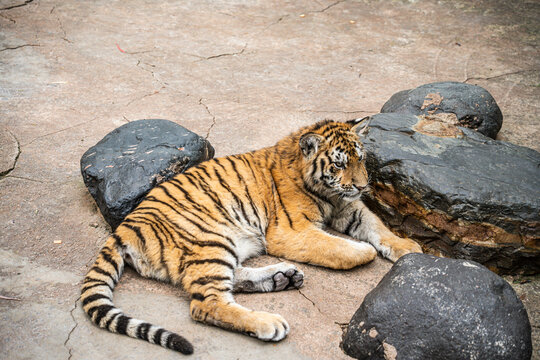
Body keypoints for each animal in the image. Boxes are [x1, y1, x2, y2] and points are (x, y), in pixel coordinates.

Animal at [80, 118, 422, 354]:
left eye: (360, 158)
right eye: (339, 164)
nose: (364, 187)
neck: (328, 193)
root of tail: (125, 226)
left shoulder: (349, 207)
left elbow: (377, 225)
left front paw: (408, 247)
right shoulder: (289, 230)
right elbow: (335, 246)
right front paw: (363, 250)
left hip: (223, 244)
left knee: (230, 281)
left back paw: (282, 277)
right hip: (211, 239)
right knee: (206, 303)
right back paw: (268, 322)